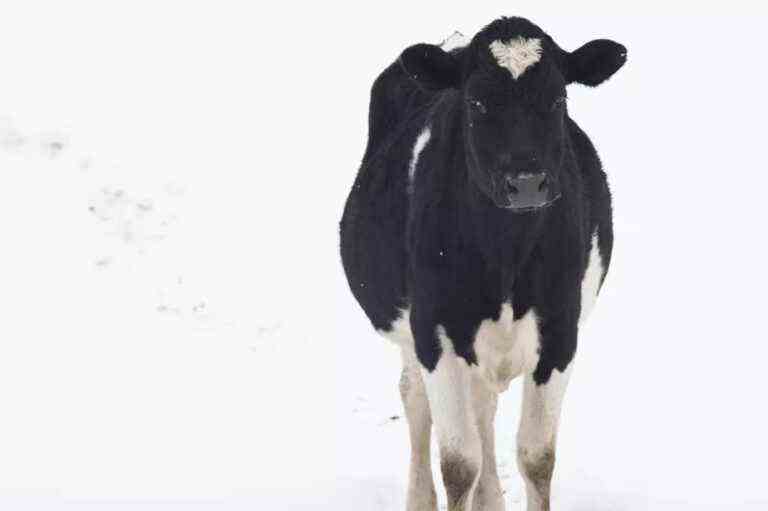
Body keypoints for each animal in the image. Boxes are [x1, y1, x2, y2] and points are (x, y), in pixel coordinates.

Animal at [340, 16, 628, 511]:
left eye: (558, 99)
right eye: (476, 102)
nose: (526, 182)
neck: (507, 254)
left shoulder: (560, 331)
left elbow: (537, 456)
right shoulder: (435, 333)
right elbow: (459, 464)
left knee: (483, 407)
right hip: (416, 334)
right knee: (417, 400)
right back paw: (421, 497)